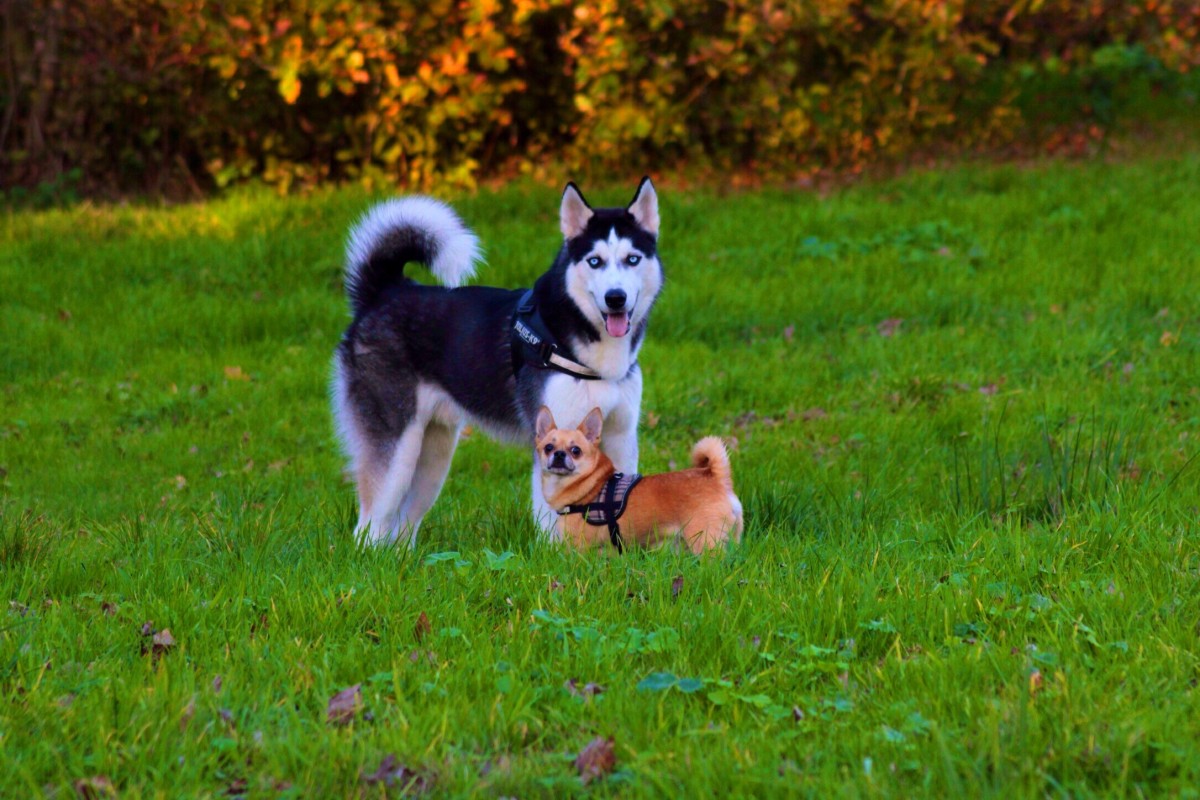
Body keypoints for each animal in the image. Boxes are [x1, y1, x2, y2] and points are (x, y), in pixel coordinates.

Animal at [535, 407, 739, 551]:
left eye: (576, 450)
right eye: (548, 447)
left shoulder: (579, 547)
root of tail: (717, 476)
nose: (559, 454)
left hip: (704, 540)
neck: (590, 487)